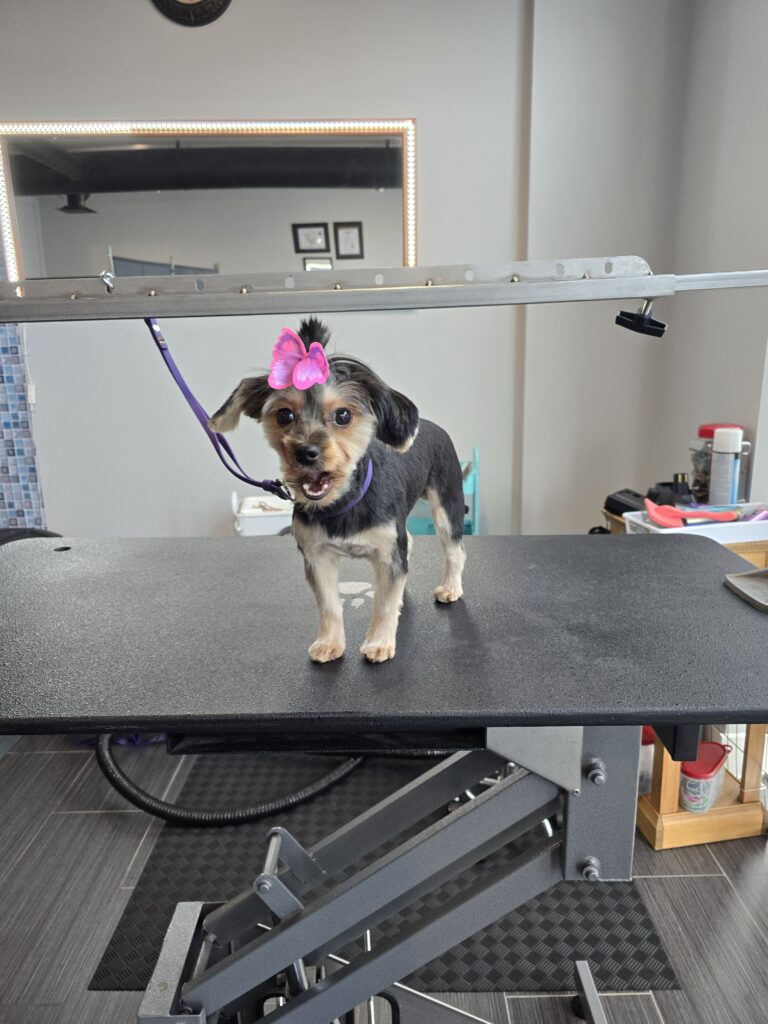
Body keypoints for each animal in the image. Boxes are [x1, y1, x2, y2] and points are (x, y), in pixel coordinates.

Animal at [210, 317, 466, 663]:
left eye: (343, 415)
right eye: (284, 415)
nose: (305, 452)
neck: (343, 501)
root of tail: (431, 425)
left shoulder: (388, 554)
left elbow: (383, 603)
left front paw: (379, 642)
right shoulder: (317, 557)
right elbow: (329, 605)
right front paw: (329, 642)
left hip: (446, 500)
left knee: (454, 549)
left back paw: (450, 587)